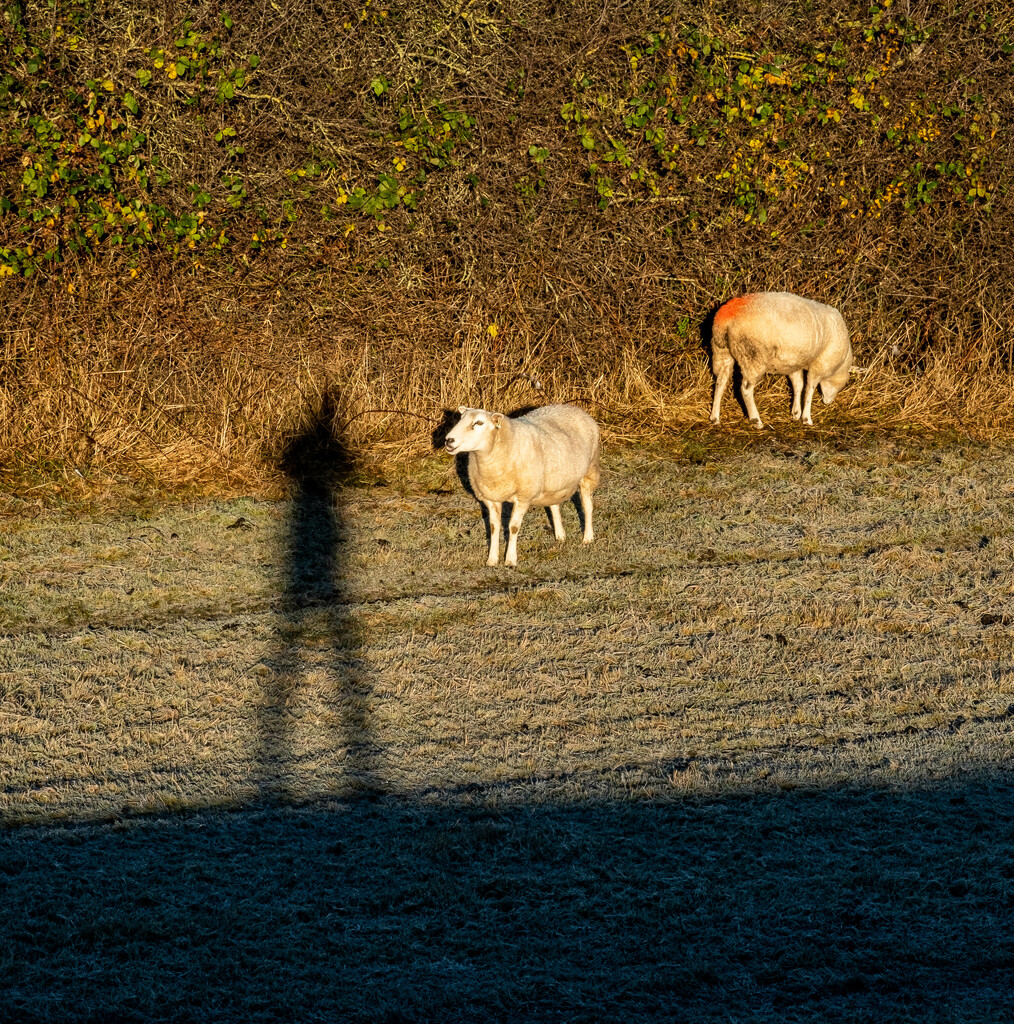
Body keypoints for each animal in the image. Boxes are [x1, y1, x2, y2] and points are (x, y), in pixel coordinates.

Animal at [446, 403, 602, 569]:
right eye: (461, 419)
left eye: (479, 423)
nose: (448, 440)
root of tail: (574, 408)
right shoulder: (491, 497)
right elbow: (494, 527)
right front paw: (492, 560)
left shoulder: (523, 497)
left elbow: (513, 527)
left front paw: (510, 560)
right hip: (552, 482)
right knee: (554, 506)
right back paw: (560, 536)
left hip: (590, 469)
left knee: (587, 505)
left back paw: (587, 538)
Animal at [704, 292, 856, 428]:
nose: (828, 402)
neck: (840, 364)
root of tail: (726, 316)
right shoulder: (820, 364)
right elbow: (809, 388)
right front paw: (806, 418)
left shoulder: (793, 362)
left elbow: (798, 385)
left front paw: (796, 413)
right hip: (752, 355)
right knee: (746, 389)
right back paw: (756, 420)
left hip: (722, 351)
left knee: (720, 382)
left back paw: (715, 418)